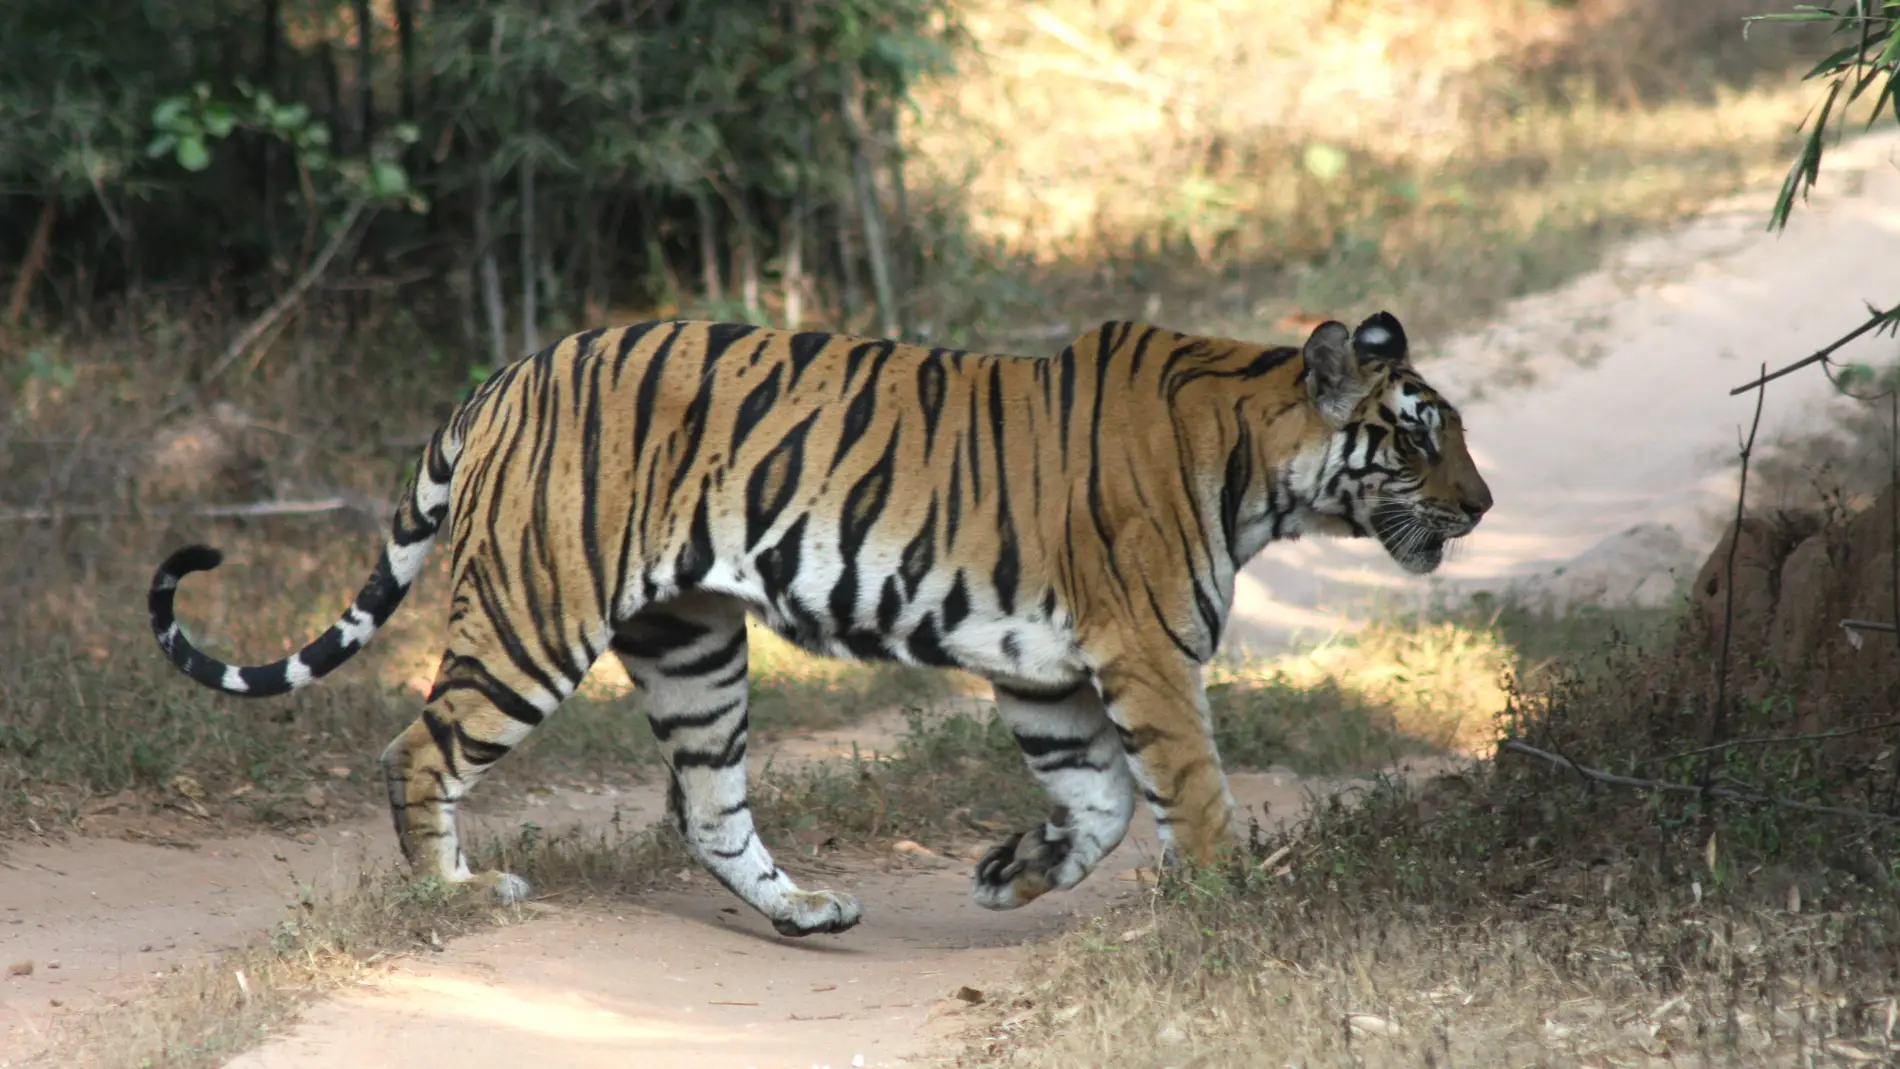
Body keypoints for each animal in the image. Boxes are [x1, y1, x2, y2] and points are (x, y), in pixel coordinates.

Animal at [144, 309, 1482, 937]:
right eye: (1420, 436)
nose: (1481, 505)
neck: (1261, 461)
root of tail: (509, 372)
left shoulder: (1045, 673)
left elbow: (1099, 804)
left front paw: (1012, 871)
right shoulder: (1147, 658)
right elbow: (1191, 796)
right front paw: (1232, 907)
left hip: (692, 644)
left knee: (707, 805)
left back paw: (803, 912)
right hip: (534, 618)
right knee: (417, 747)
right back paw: (455, 894)